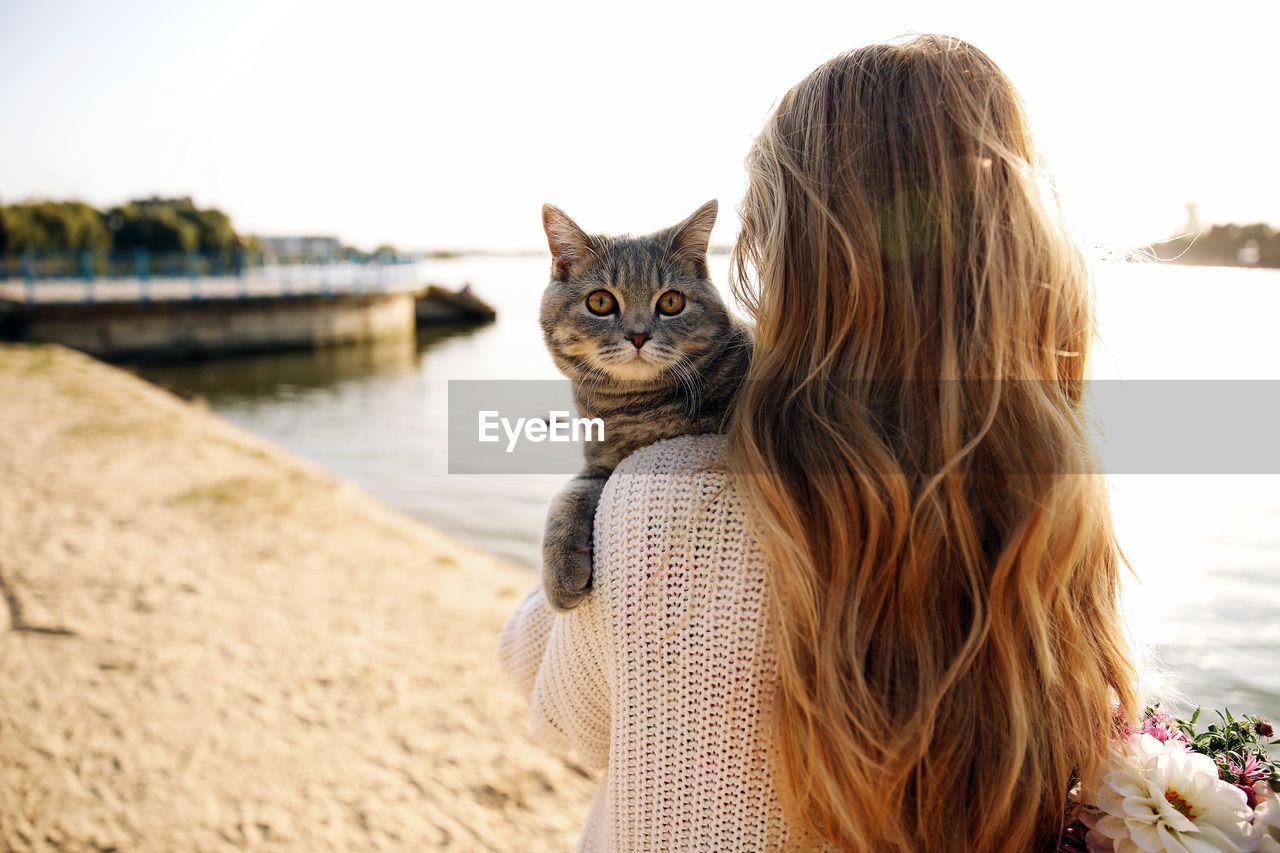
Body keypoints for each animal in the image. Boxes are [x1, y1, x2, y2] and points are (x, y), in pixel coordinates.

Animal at [537, 199, 747, 607]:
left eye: (671, 301)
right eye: (600, 302)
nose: (638, 335)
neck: (636, 409)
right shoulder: (599, 464)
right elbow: (568, 494)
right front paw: (560, 573)